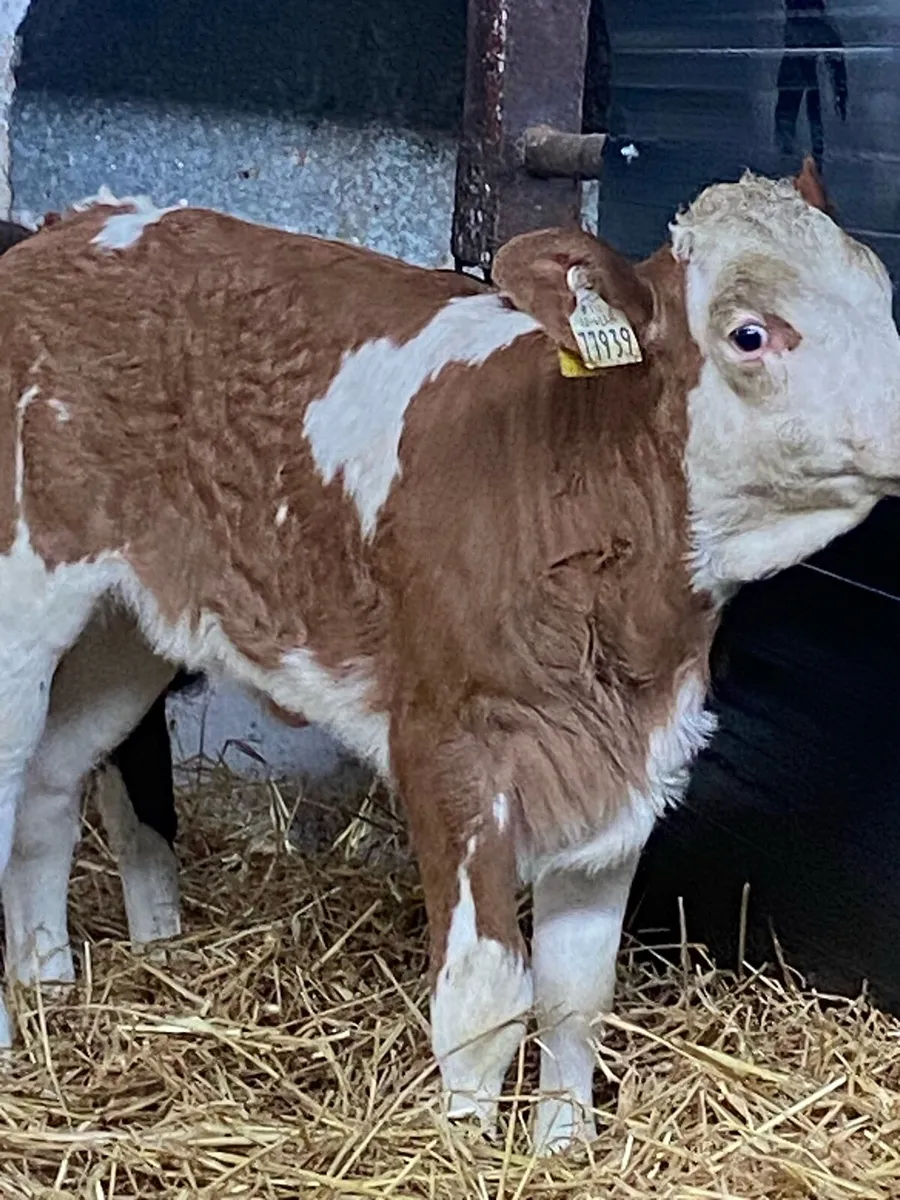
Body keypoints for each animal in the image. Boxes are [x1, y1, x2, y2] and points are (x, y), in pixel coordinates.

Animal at [1, 160, 899, 1155]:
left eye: (882, 293)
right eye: (750, 333)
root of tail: (72, 224)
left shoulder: (628, 765)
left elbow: (576, 996)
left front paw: (561, 1150)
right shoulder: (450, 750)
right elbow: (484, 996)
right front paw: (467, 1150)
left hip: (122, 631)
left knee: (47, 789)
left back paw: (48, 989)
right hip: (21, 604)